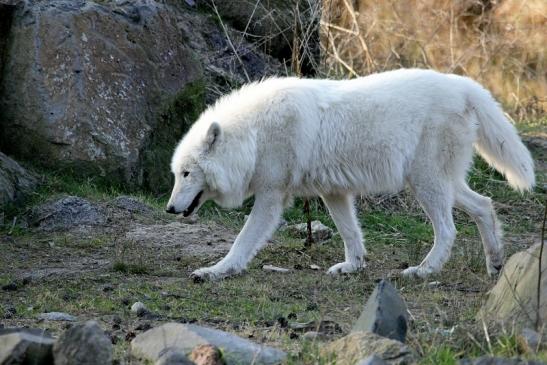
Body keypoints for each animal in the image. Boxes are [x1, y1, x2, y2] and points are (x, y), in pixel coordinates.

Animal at [166, 68, 536, 278]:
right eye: (177, 174)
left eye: (186, 174)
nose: (169, 209)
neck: (254, 135)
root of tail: (464, 84)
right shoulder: (334, 192)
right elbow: (350, 233)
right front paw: (352, 266)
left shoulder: (271, 197)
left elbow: (242, 241)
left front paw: (216, 271)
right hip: (441, 183)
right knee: (484, 205)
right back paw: (495, 264)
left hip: (426, 184)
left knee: (448, 229)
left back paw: (423, 270)